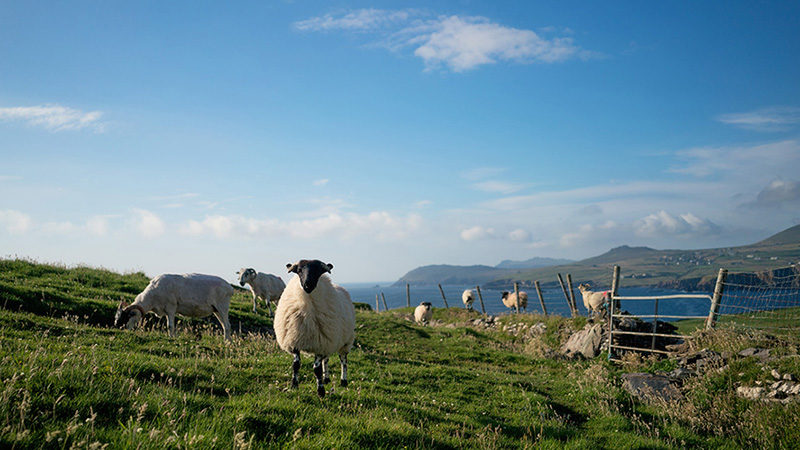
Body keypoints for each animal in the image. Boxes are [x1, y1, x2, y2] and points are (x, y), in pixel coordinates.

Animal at [274, 260, 354, 398]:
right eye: (299, 270)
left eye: (317, 270)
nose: (308, 284)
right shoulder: (295, 341)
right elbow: (296, 365)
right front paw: (294, 385)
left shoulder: (319, 344)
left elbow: (317, 370)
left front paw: (320, 391)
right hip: (328, 340)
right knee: (326, 360)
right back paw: (326, 378)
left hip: (345, 341)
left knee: (343, 361)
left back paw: (343, 381)